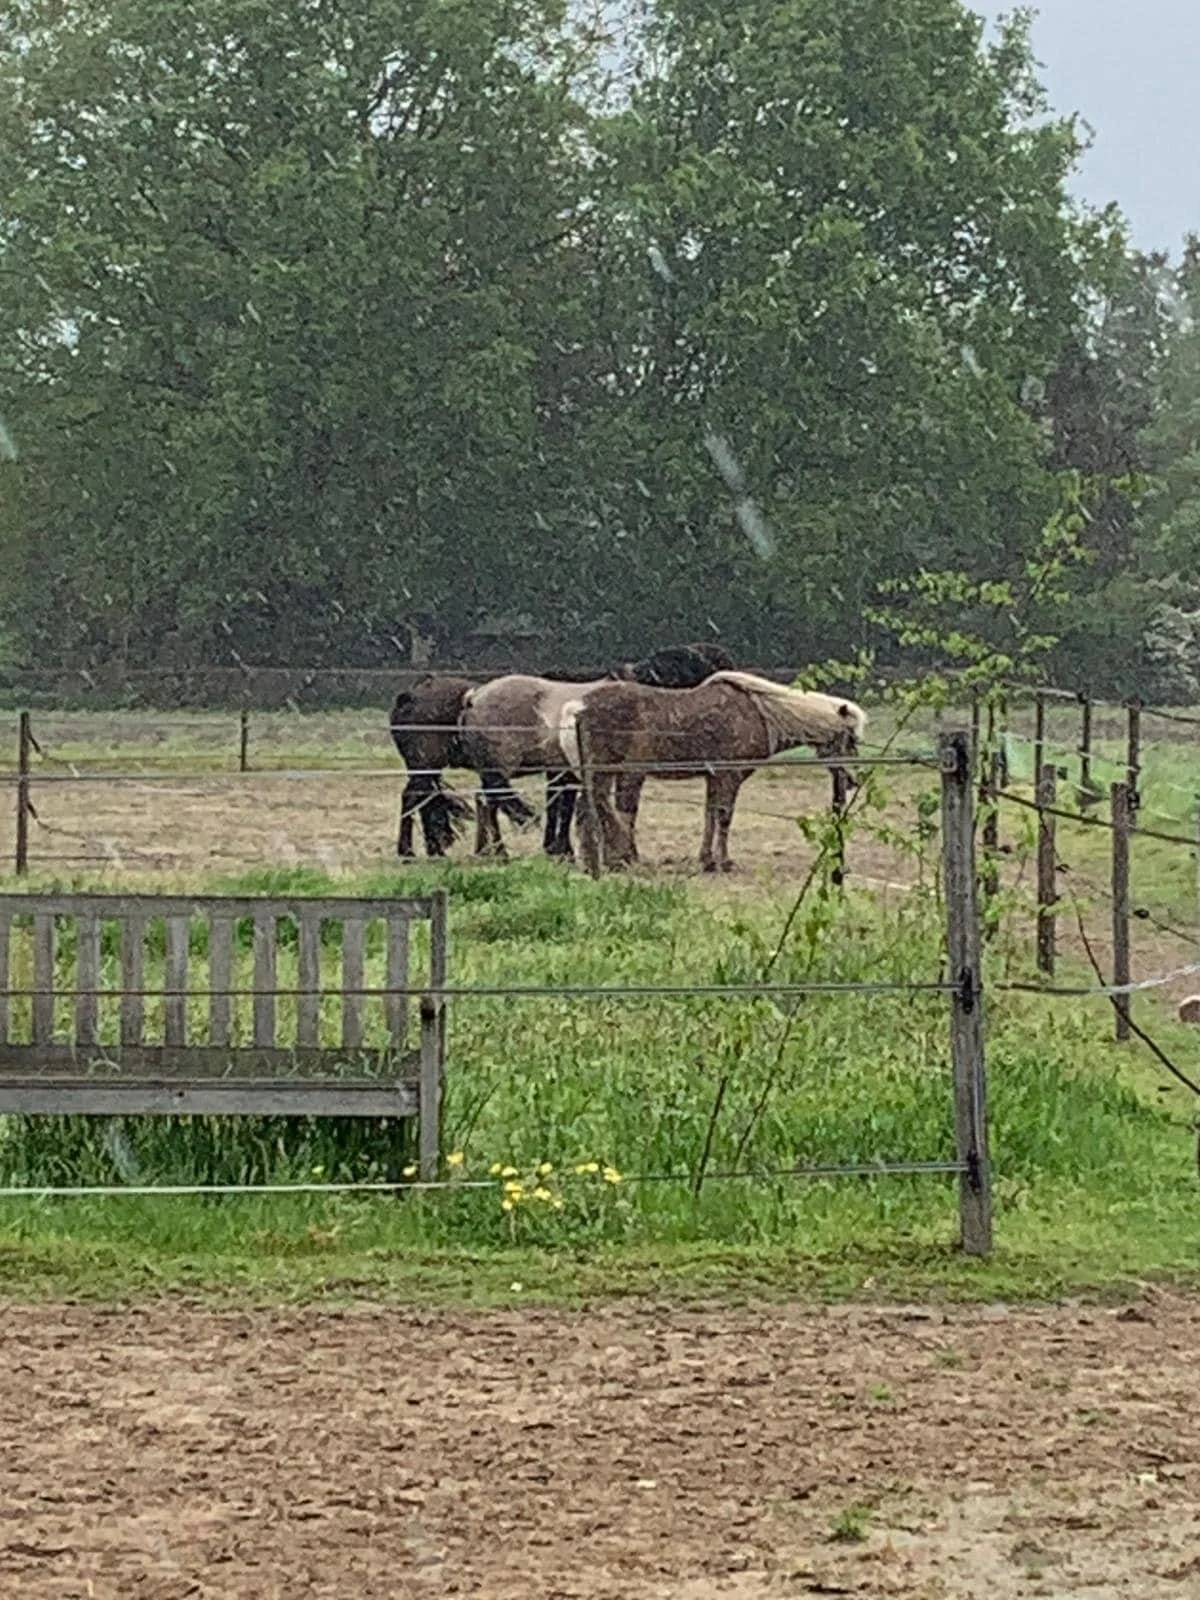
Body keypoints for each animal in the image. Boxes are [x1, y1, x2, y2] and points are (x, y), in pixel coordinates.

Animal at [560, 672, 867, 874]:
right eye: (851, 739)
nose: (853, 780)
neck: (760, 714)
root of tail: (578, 708)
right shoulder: (730, 777)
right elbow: (724, 817)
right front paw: (724, 862)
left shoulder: (714, 778)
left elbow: (709, 816)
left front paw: (706, 860)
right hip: (609, 773)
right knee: (602, 809)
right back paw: (618, 858)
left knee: (588, 810)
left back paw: (595, 861)